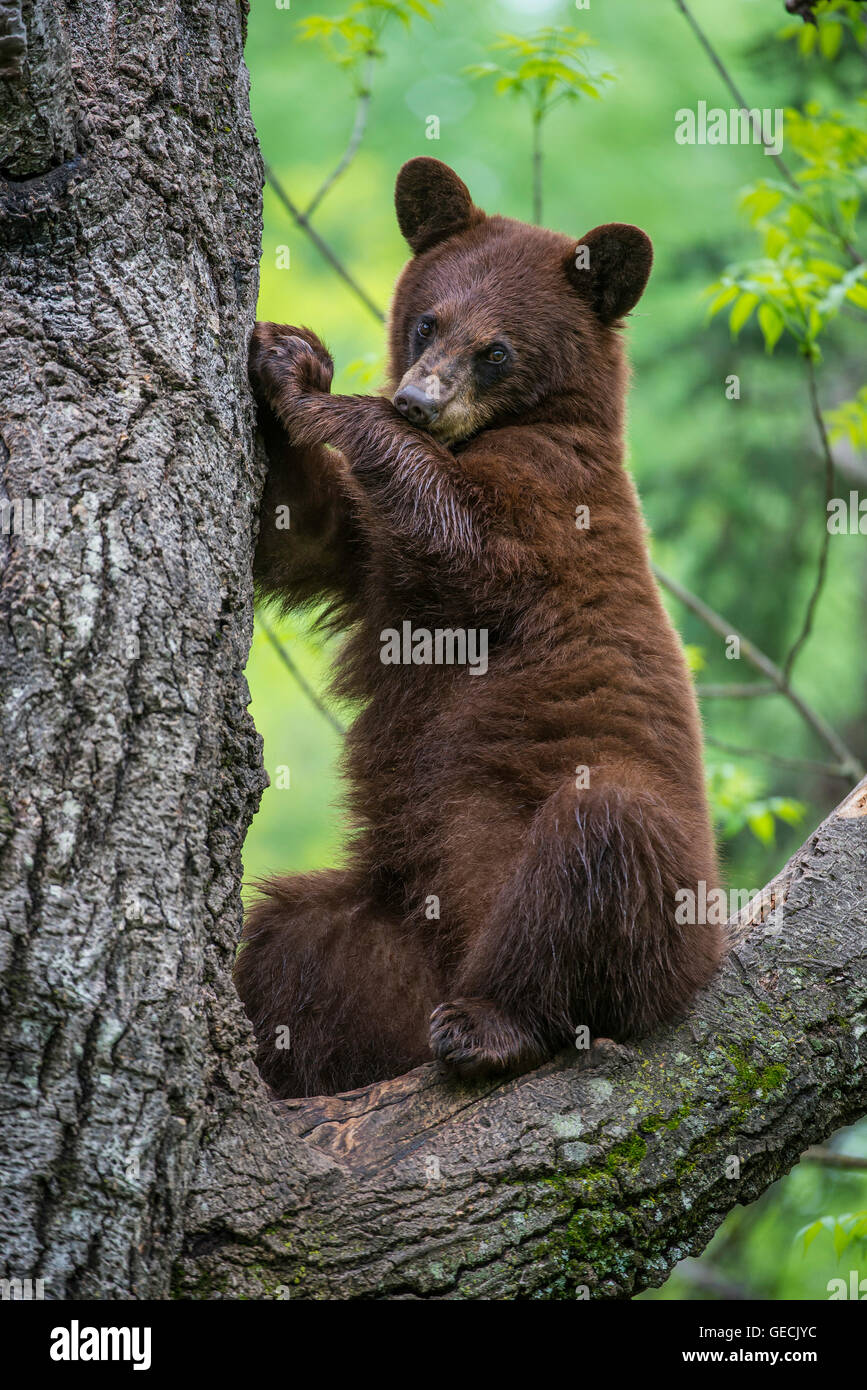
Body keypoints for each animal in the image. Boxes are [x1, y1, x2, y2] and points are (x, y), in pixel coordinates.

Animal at [234, 157, 722, 1095]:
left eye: (495, 350)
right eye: (428, 319)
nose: (419, 401)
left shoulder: (551, 507)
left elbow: (461, 535)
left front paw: (314, 389)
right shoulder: (376, 565)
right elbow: (306, 531)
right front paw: (285, 352)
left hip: (657, 904)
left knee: (598, 836)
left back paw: (492, 1025)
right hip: (378, 932)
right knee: (286, 941)